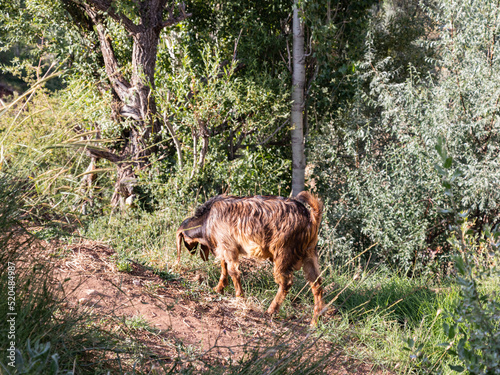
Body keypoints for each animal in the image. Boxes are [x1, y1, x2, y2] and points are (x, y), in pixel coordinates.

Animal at [175, 192, 324, 324]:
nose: (192, 252)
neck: (208, 218)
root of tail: (311, 217)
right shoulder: (223, 246)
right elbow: (224, 266)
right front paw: (219, 288)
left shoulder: (228, 245)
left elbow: (233, 271)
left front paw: (239, 297)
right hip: (310, 254)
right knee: (317, 284)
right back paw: (315, 321)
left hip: (284, 252)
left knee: (286, 283)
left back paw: (271, 310)